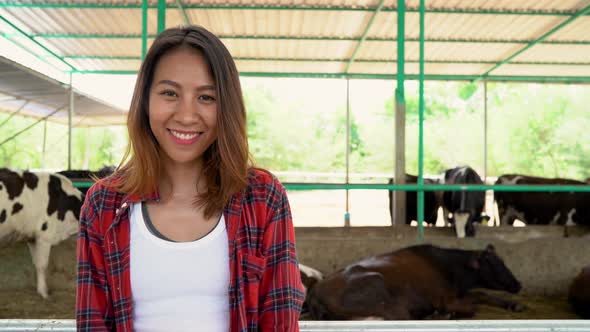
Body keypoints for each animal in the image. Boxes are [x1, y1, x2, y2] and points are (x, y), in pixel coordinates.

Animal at [308, 243, 524, 320]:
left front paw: (514, 305)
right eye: (495, 265)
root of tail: (317, 291)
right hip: (384, 294)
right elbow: (473, 306)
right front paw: (448, 314)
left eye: (503, 261)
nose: (518, 284)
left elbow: (481, 293)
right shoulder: (446, 299)